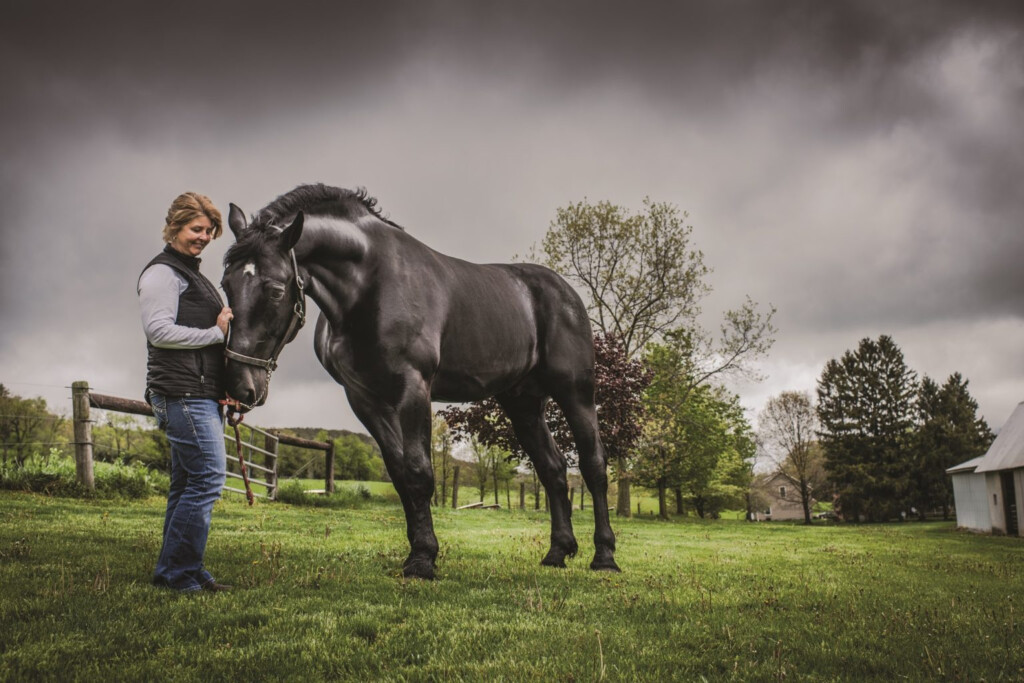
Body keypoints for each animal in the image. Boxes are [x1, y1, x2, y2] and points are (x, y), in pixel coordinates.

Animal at [222, 184, 614, 581]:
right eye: (226, 284)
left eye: (274, 289)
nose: (241, 386)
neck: (369, 284)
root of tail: (566, 293)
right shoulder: (364, 398)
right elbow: (399, 474)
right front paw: (417, 550)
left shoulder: (413, 388)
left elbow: (420, 471)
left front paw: (424, 558)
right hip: (523, 403)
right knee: (553, 469)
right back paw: (558, 551)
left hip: (576, 392)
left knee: (593, 464)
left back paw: (604, 555)